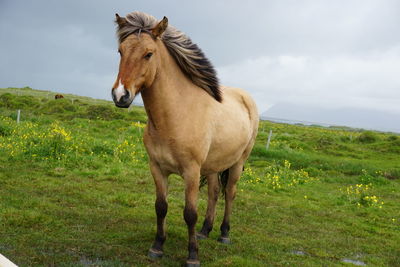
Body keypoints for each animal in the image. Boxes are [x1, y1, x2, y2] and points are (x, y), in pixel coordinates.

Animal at [111, 11, 260, 266]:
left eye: (148, 54)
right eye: (121, 51)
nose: (121, 95)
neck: (176, 115)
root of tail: (245, 97)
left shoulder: (191, 171)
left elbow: (190, 213)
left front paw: (192, 256)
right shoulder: (157, 167)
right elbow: (161, 207)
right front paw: (157, 246)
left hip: (237, 163)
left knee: (230, 193)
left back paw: (224, 234)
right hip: (213, 166)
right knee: (214, 193)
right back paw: (205, 231)